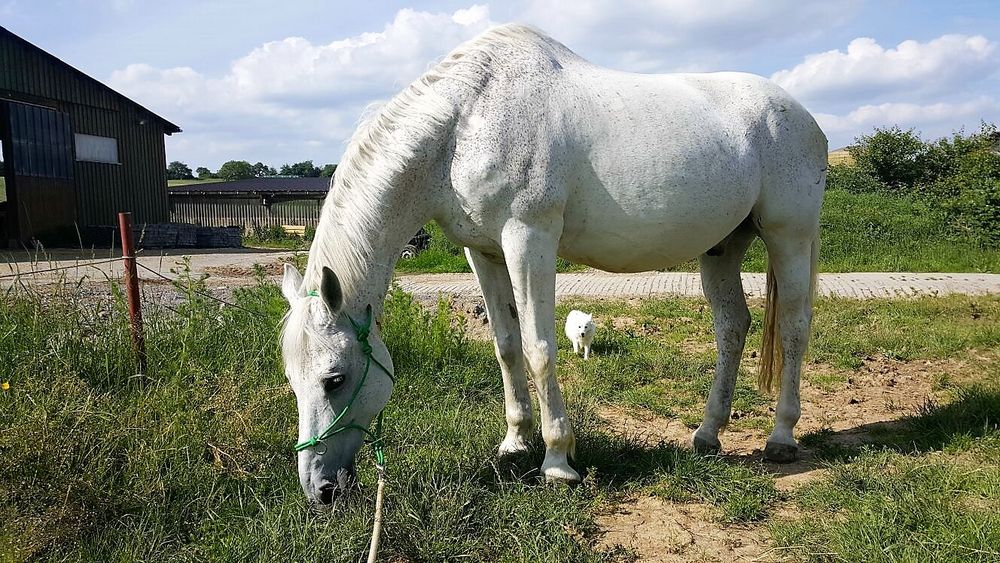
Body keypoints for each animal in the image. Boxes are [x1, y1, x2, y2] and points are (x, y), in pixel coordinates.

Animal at [280, 24, 820, 506]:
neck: (465, 122)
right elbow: (506, 346)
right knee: (733, 326)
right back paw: (708, 434)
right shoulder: (484, 252)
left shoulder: (528, 238)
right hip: (723, 247)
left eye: (334, 379)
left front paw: (558, 461)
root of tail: (804, 118)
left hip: (789, 236)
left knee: (794, 328)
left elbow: (539, 348)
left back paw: (781, 438)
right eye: (292, 379)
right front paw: (515, 442)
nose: (319, 489)